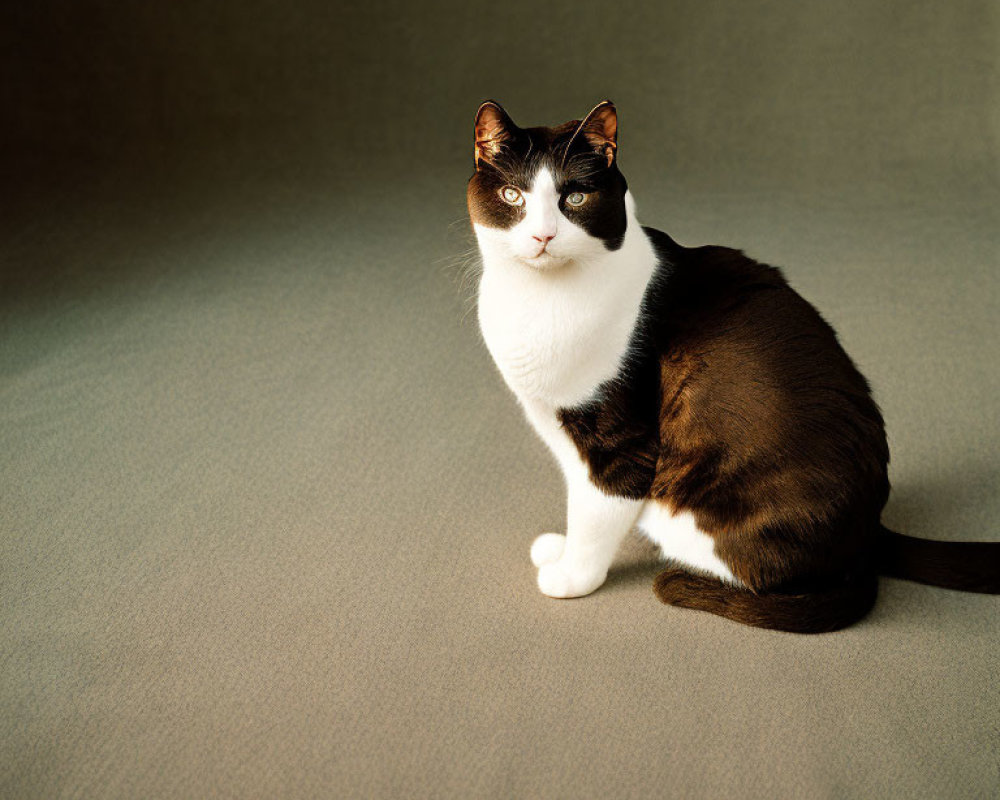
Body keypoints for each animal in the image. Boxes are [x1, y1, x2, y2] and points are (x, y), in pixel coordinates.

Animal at [468, 98, 1000, 632]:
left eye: (574, 198)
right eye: (513, 195)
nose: (542, 235)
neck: (539, 299)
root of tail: (870, 531)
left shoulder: (621, 444)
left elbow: (596, 516)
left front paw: (573, 576)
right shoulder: (561, 431)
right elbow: (578, 502)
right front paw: (559, 548)